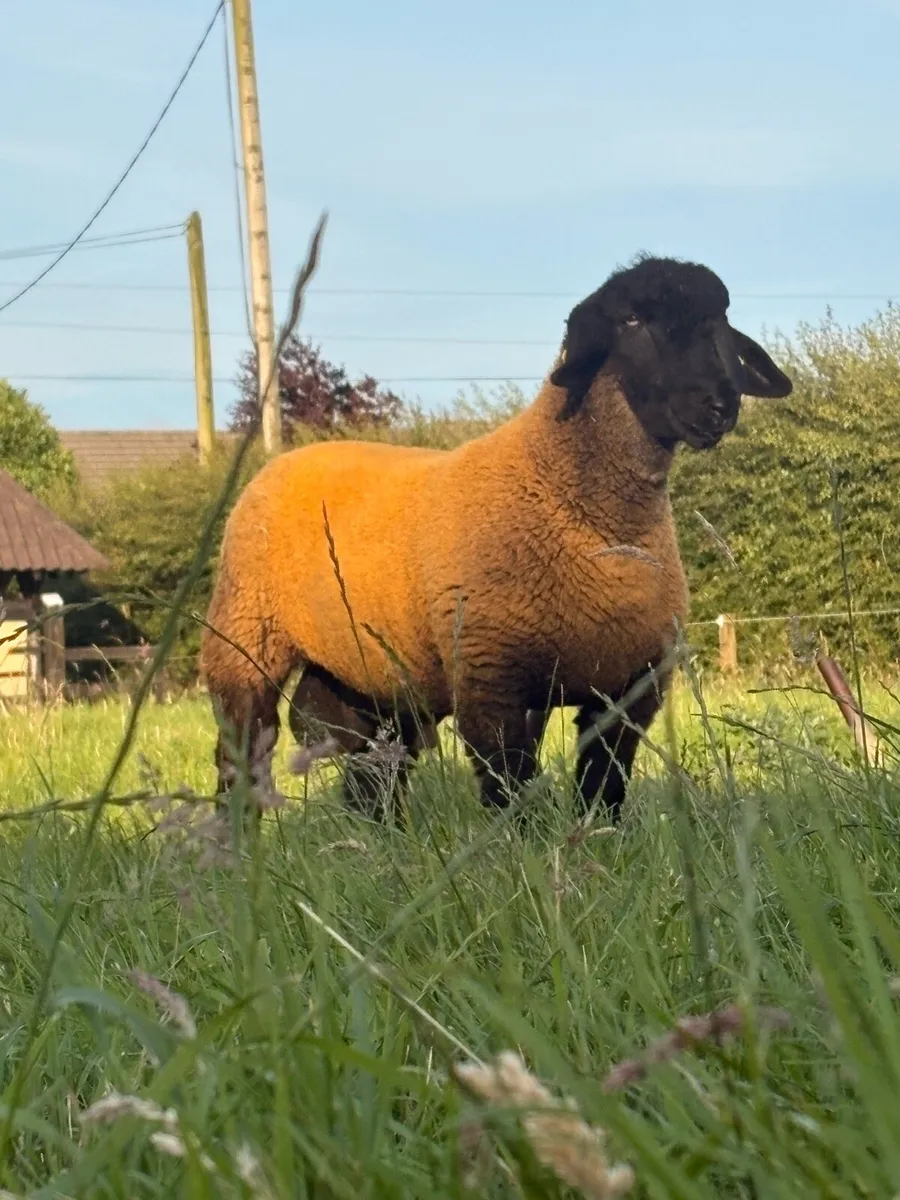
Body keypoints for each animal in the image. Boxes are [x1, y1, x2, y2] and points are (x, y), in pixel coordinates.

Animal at [200, 254, 792, 823]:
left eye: (720, 322)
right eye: (631, 321)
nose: (718, 405)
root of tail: (285, 458)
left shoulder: (629, 689)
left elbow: (603, 789)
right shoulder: (493, 679)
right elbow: (511, 791)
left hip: (371, 677)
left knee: (372, 774)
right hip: (245, 640)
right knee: (241, 755)